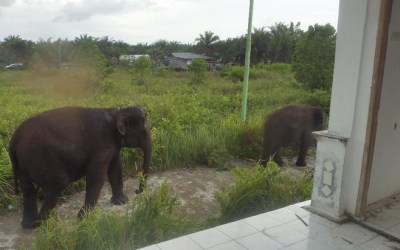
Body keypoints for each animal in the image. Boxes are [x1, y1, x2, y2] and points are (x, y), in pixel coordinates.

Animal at [9, 104, 153, 228]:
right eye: (144, 131)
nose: (137, 191)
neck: (117, 111)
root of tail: (15, 139)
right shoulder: (102, 147)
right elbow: (97, 176)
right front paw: (83, 217)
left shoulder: (112, 147)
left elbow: (115, 169)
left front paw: (122, 202)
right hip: (40, 157)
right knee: (58, 183)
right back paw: (44, 223)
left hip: (23, 161)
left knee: (29, 189)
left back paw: (30, 224)